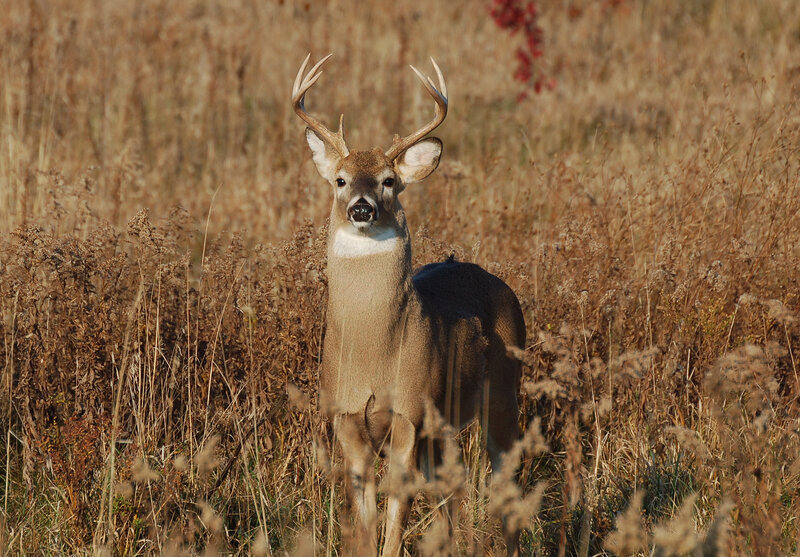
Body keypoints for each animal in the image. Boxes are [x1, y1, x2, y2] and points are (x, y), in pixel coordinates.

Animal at [292, 53, 526, 556]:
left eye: (389, 181)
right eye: (340, 180)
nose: (361, 208)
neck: (371, 355)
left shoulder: (410, 411)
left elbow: (396, 509)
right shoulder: (344, 416)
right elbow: (364, 518)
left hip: (502, 391)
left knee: (507, 482)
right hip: (445, 427)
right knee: (453, 490)